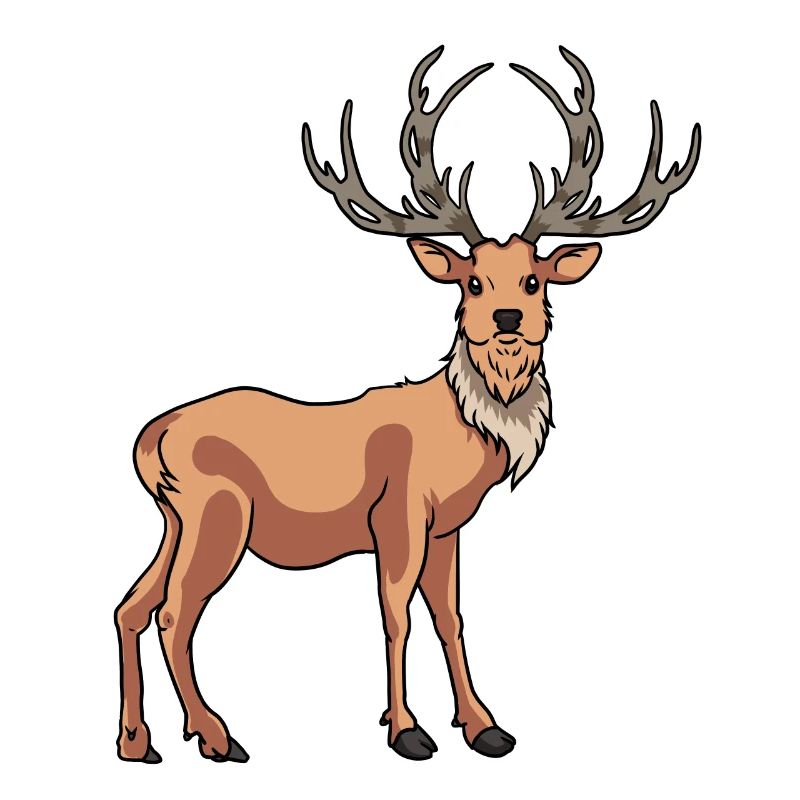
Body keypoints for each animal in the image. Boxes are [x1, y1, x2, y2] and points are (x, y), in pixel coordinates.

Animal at [115, 45, 700, 764]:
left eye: (533, 279)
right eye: (472, 280)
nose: (508, 318)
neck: (469, 435)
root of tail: (150, 438)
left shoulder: (448, 527)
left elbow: (451, 616)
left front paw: (485, 726)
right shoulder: (397, 514)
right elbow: (396, 614)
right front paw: (406, 730)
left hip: (173, 519)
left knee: (131, 605)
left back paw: (137, 742)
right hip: (217, 514)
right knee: (174, 613)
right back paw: (218, 736)